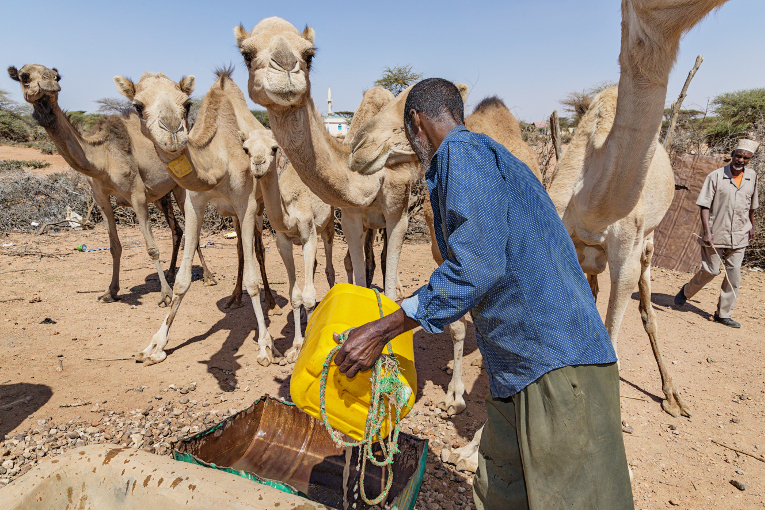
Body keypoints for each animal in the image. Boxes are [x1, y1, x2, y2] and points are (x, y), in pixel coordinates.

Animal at [7, 61, 215, 304]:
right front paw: (111, 291)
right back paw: (172, 273)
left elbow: (152, 247)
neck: (103, 159)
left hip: (180, 188)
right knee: (177, 230)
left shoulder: (137, 194)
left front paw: (165, 294)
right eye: (24, 76)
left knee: (192, 230)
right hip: (161, 196)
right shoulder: (100, 198)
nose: (49, 84)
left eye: (56, 76)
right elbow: (114, 246)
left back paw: (208, 276)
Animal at [113, 69, 278, 366]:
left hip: (261, 206)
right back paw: (233, 299)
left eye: (187, 103)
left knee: (259, 250)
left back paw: (272, 302)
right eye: (138, 106)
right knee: (240, 249)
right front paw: (155, 345)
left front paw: (265, 345)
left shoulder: (246, 204)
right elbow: (181, 280)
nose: (173, 131)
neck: (219, 159)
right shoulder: (194, 204)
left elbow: (253, 280)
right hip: (233, 215)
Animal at [236, 17, 420, 300]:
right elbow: (356, 265)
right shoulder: (350, 216)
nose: (286, 66)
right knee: (368, 255)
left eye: (309, 55)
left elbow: (388, 269)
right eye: (247, 54)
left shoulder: (398, 212)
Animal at [239, 129, 334, 362]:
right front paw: (296, 345)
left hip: (330, 223)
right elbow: (295, 296)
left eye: (274, 148)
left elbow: (308, 296)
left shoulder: (309, 235)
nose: (258, 164)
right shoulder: (283, 242)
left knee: (331, 267)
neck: (289, 212)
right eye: (246, 149)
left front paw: (305, 346)